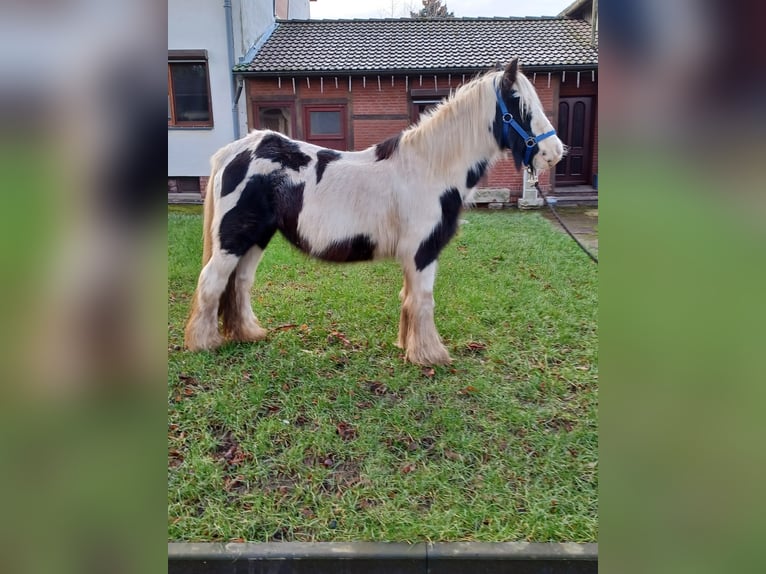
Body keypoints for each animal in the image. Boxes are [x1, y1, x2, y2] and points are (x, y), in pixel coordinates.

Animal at [184, 58, 564, 364]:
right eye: (520, 106)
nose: (555, 152)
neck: (430, 168)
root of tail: (232, 151)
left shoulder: (414, 255)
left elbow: (408, 298)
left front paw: (408, 347)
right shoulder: (423, 251)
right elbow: (423, 299)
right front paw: (430, 356)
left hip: (256, 237)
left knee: (239, 283)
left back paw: (248, 333)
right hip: (233, 239)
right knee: (212, 281)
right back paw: (203, 343)